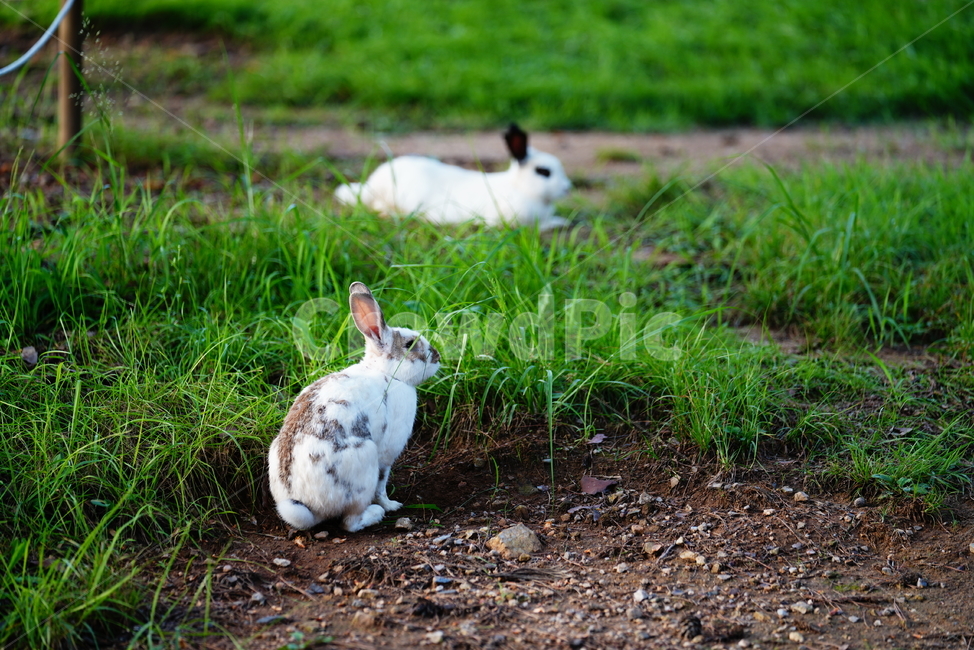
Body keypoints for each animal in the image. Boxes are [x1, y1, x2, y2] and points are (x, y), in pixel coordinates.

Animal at [268, 282, 441, 532]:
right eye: (410, 344)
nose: (437, 357)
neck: (386, 373)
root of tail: (303, 503)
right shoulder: (386, 455)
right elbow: (382, 484)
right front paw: (392, 505)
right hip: (364, 465)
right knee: (350, 522)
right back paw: (376, 513)